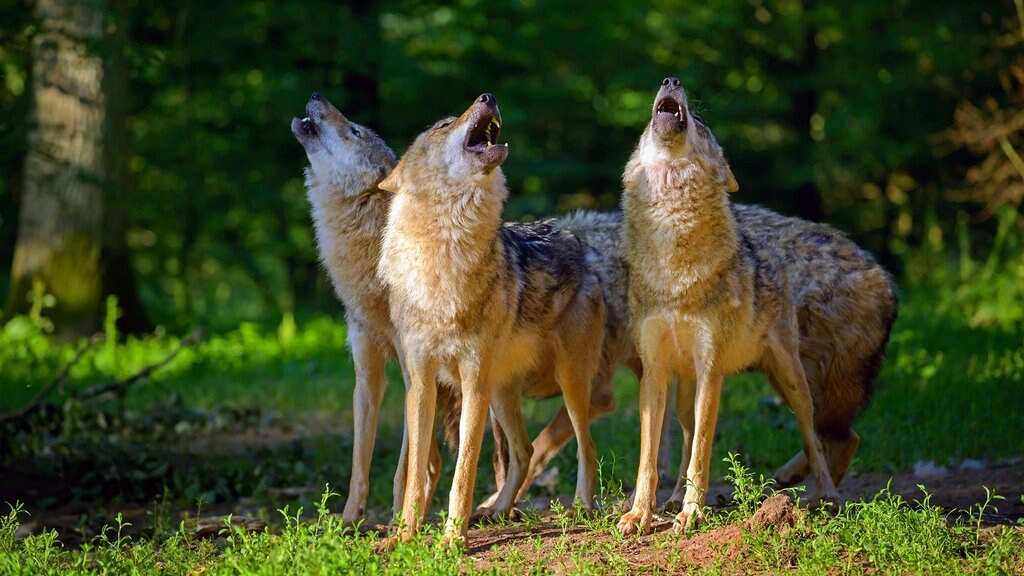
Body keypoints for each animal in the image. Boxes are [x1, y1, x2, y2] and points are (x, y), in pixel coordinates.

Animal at [378, 91, 606, 541]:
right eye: (443, 125)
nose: (487, 96)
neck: (444, 247)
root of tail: (580, 244)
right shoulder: (421, 382)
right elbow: (415, 474)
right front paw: (406, 535)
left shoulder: (473, 381)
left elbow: (463, 471)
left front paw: (452, 538)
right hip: (502, 392)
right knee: (525, 449)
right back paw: (498, 510)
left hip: (566, 383)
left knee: (586, 448)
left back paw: (581, 510)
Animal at [614, 78, 897, 537]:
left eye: (702, 121)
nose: (672, 80)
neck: (672, 262)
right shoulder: (654, 372)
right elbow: (649, 460)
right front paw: (641, 514)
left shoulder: (712, 371)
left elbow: (702, 456)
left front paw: (692, 514)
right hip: (688, 393)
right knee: (690, 439)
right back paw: (672, 500)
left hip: (791, 382)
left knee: (819, 436)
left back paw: (825, 496)